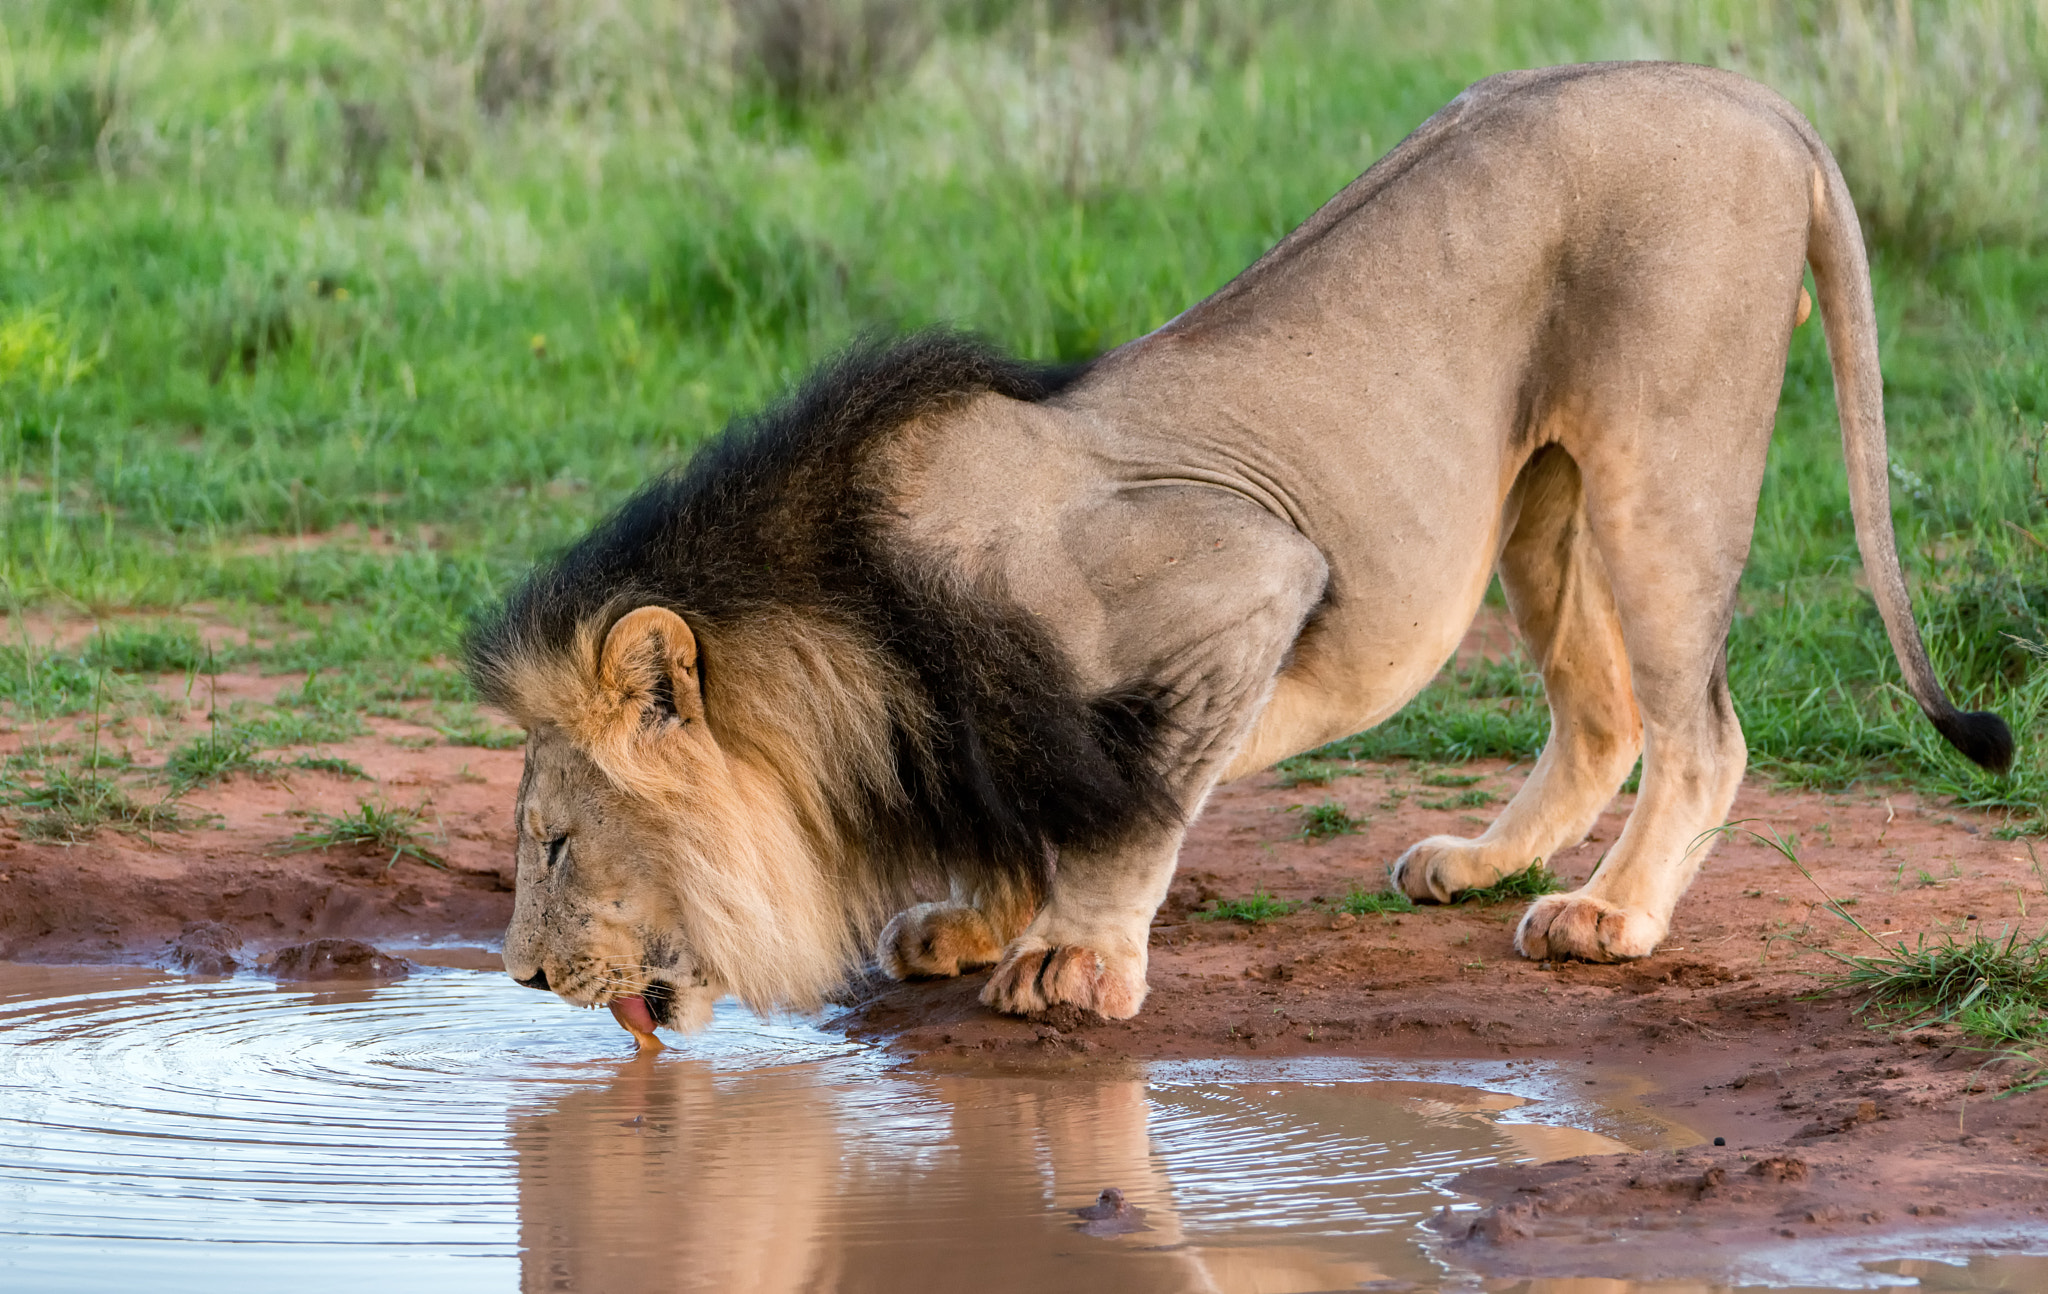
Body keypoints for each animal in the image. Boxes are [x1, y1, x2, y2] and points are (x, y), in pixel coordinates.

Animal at [468, 60, 2015, 1036]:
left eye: (556, 842)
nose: (525, 983)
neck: (854, 649)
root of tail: (1760, 99)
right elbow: (1025, 812)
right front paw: (974, 918)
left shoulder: (1243, 572)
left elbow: (1124, 811)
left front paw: (1071, 959)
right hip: (1540, 496)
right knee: (1603, 711)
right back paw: (1483, 863)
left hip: (1662, 459)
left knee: (1701, 729)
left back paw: (1608, 915)